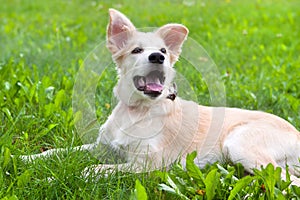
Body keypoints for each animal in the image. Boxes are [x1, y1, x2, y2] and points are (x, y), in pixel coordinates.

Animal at [19, 7, 300, 186]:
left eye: (164, 50)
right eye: (136, 50)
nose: (157, 57)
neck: (137, 110)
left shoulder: (150, 164)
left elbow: (91, 169)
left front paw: (51, 178)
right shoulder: (101, 147)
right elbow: (60, 151)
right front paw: (25, 158)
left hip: (240, 143)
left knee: (288, 182)